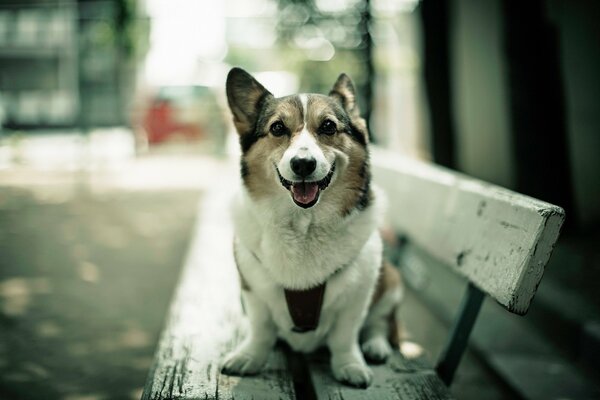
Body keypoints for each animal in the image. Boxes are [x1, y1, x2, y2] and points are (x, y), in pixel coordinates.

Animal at [221, 68, 404, 388]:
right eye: (278, 128)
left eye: (329, 126)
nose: (303, 164)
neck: (304, 225)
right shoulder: (254, 291)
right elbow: (261, 330)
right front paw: (250, 357)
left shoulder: (358, 294)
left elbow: (346, 336)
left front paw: (350, 365)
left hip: (391, 281)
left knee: (381, 322)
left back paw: (376, 346)